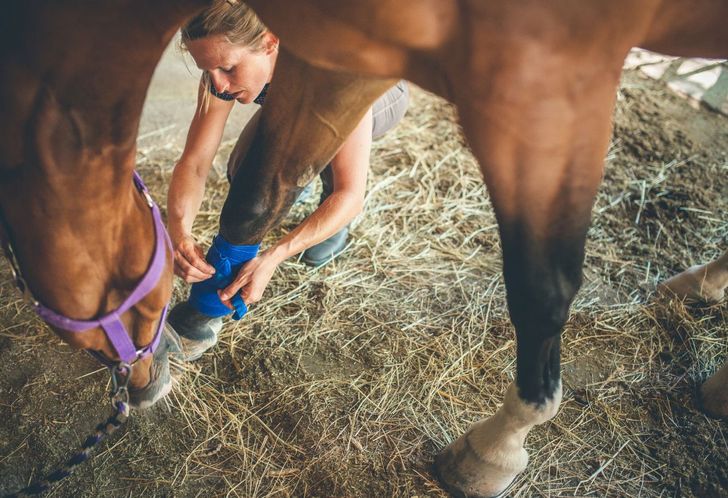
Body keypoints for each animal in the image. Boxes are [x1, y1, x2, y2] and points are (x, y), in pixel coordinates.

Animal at [200, 1, 727, 496]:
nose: (219, 92)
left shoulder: (552, 81)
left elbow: (541, 293)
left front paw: (491, 454)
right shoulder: (332, 50)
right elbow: (256, 195)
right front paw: (197, 317)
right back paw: (702, 315)